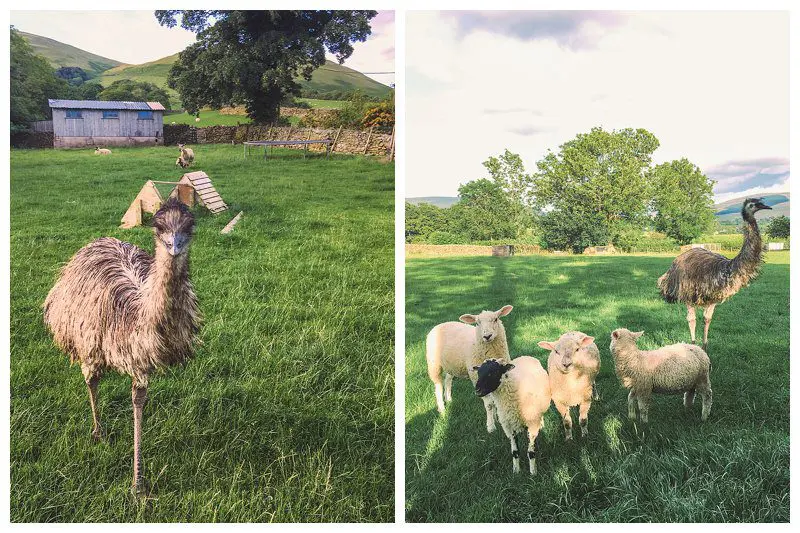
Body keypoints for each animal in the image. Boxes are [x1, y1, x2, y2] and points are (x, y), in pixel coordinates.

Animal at [424, 304, 512, 432]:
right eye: (477, 323)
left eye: (496, 319)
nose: (487, 336)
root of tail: (439, 324)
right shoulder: (477, 379)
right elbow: (489, 404)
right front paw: (491, 426)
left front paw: (496, 418)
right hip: (433, 363)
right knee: (438, 386)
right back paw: (442, 410)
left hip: (451, 364)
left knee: (448, 380)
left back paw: (449, 399)